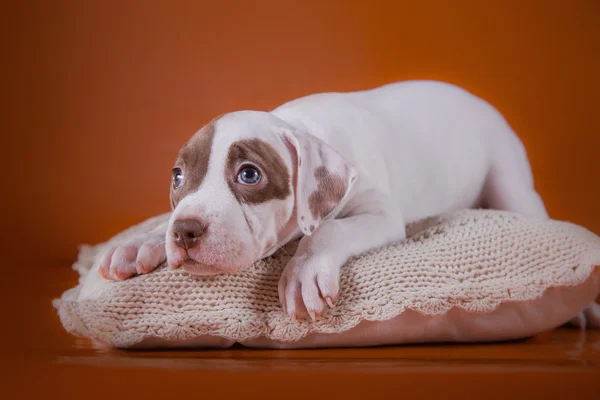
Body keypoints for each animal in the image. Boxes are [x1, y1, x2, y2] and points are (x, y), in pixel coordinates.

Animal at [99, 81, 568, 322]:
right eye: (178, 177)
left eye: (249, 174)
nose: (186, 231)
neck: (298, 124)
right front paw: (141, 242)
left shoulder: (380, 215)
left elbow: (326, 231)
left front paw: (303, 272)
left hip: (510, 180)